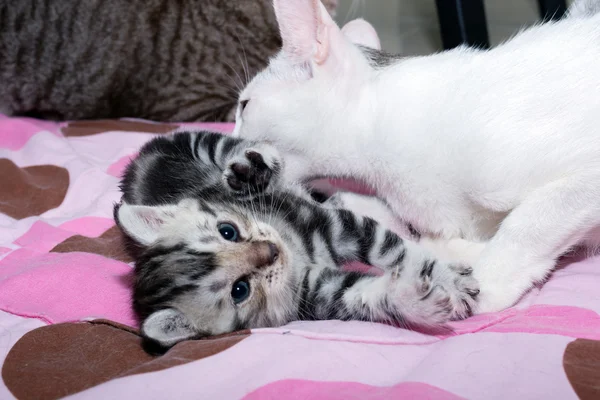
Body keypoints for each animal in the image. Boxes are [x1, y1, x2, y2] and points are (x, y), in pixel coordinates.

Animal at [116, 130, 478, 346]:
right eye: (240, 290)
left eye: (227, 231)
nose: (270, 250)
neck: (296, 249)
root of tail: (134, 165)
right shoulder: (316, 292)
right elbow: (362, 294)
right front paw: (414, 302)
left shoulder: (338, 226)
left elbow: (399, 251)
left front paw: (452, 281)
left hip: (198, 143)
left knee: (234, 146)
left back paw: (255, 166)